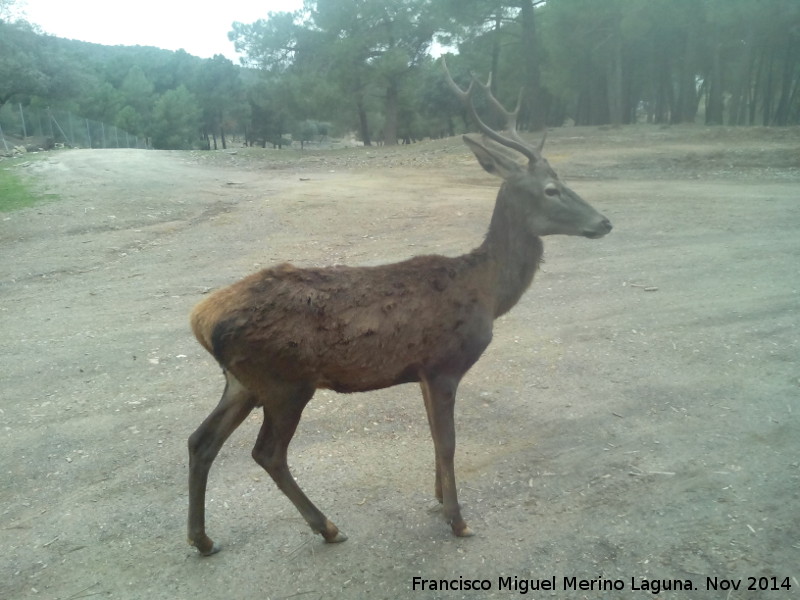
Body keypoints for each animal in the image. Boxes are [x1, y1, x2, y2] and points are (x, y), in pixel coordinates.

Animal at [188, 58, 612, 556]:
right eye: (550, 189)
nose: (604, 221)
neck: (487, 291)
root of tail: (200, 319)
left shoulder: (422, 371)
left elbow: (433, 435)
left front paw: (438, 498)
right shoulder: (445, 362)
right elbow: (447, 442)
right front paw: (457, 519)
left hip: (242, 382)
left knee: (200, 441)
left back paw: (202, 539)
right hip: (284, 381)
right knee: (267, 453)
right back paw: (327, 526)